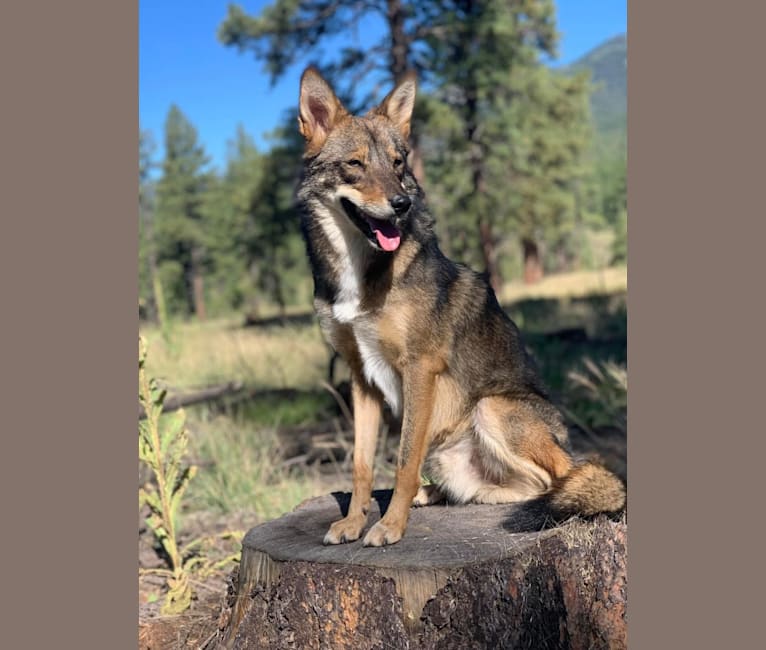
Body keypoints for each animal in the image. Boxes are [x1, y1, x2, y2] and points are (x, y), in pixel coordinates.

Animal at [296, 66, 628, 544]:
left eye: (397, 164)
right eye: (355, 165)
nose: (402, 204)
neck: (361, 271)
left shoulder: (419, 368)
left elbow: (402, 461)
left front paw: (389, 526)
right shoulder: (361, 378)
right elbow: (361, 464)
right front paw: (354, 522)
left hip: (492, 408)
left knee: (561, 479)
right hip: (448, 451)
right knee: (509, 488)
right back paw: (433, 494)